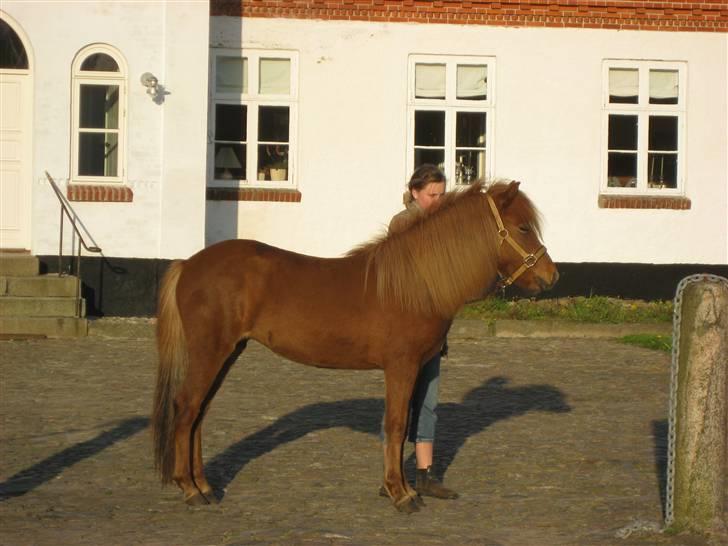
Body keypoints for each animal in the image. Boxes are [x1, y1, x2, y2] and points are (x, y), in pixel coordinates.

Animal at [154, 182, 560, 510]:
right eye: (523, 227)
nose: (552, 276)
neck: (417, 283)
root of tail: (188, 264)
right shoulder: (400, 366)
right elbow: (396, 425)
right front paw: (401, 495)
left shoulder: (415, 369)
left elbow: (408, 427)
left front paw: (402, 487)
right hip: (211, 353)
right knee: (187, 408)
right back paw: (190, 489)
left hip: (228, 353)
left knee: (199, 414)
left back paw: (206, 486)